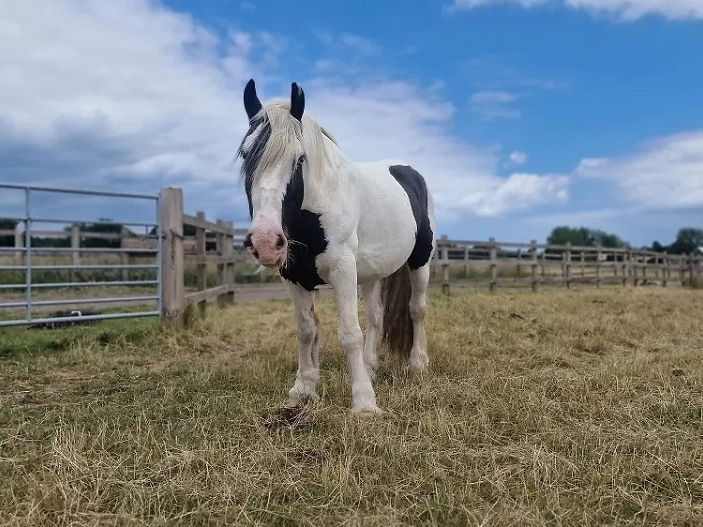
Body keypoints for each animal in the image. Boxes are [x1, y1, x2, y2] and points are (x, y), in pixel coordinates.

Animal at [237, 79, 436, 412]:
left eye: (300, 159)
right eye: (244, 154)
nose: (265, 241)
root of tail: (408, 170)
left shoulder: (343, 269)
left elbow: (349, 333)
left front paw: (364, 402)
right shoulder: (294, 276)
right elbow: (307, 331)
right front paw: (304, 389)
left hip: (420, 260)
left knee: (416, 309)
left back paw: (418, 362)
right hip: (370, 273)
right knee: (376, 316)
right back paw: (370, 367)